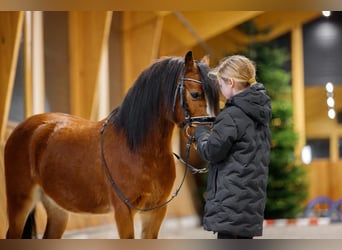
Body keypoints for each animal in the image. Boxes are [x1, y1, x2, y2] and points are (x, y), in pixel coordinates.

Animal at [4, 50, 219, 238]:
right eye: (195, 94)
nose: (212, 136)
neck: (138, 148)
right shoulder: (124, 211)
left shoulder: (155, 212)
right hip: (20, 202)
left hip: (57, 208)